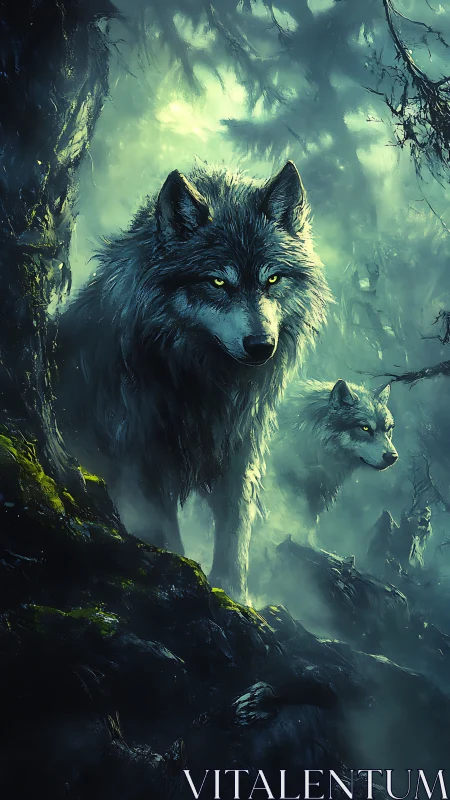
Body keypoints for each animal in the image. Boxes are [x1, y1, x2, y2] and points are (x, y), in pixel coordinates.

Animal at [56, 160, 330, 601]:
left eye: (272, 280)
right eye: (218, 282)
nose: (261, 346)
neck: (203, 382)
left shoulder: (241, 449)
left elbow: (235, 531)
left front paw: (234, 593)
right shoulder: (142, 454)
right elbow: (163, 529)